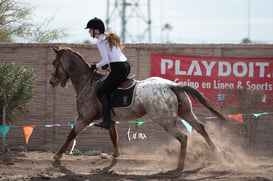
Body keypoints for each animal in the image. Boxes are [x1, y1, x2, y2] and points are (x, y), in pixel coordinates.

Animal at [49, 46, 225, 170]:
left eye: (54, 63)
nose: (51, 82)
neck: (88, 83)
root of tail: (172, 85)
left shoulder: (84, 117)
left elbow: (71, 134)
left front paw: (57, 155)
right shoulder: (110, 120)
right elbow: (113, 136)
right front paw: (116, 155)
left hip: (166, 121)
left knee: (183, 137)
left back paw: (180, 165)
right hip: (186, 112)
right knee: (200, 128)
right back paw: (216, 153)